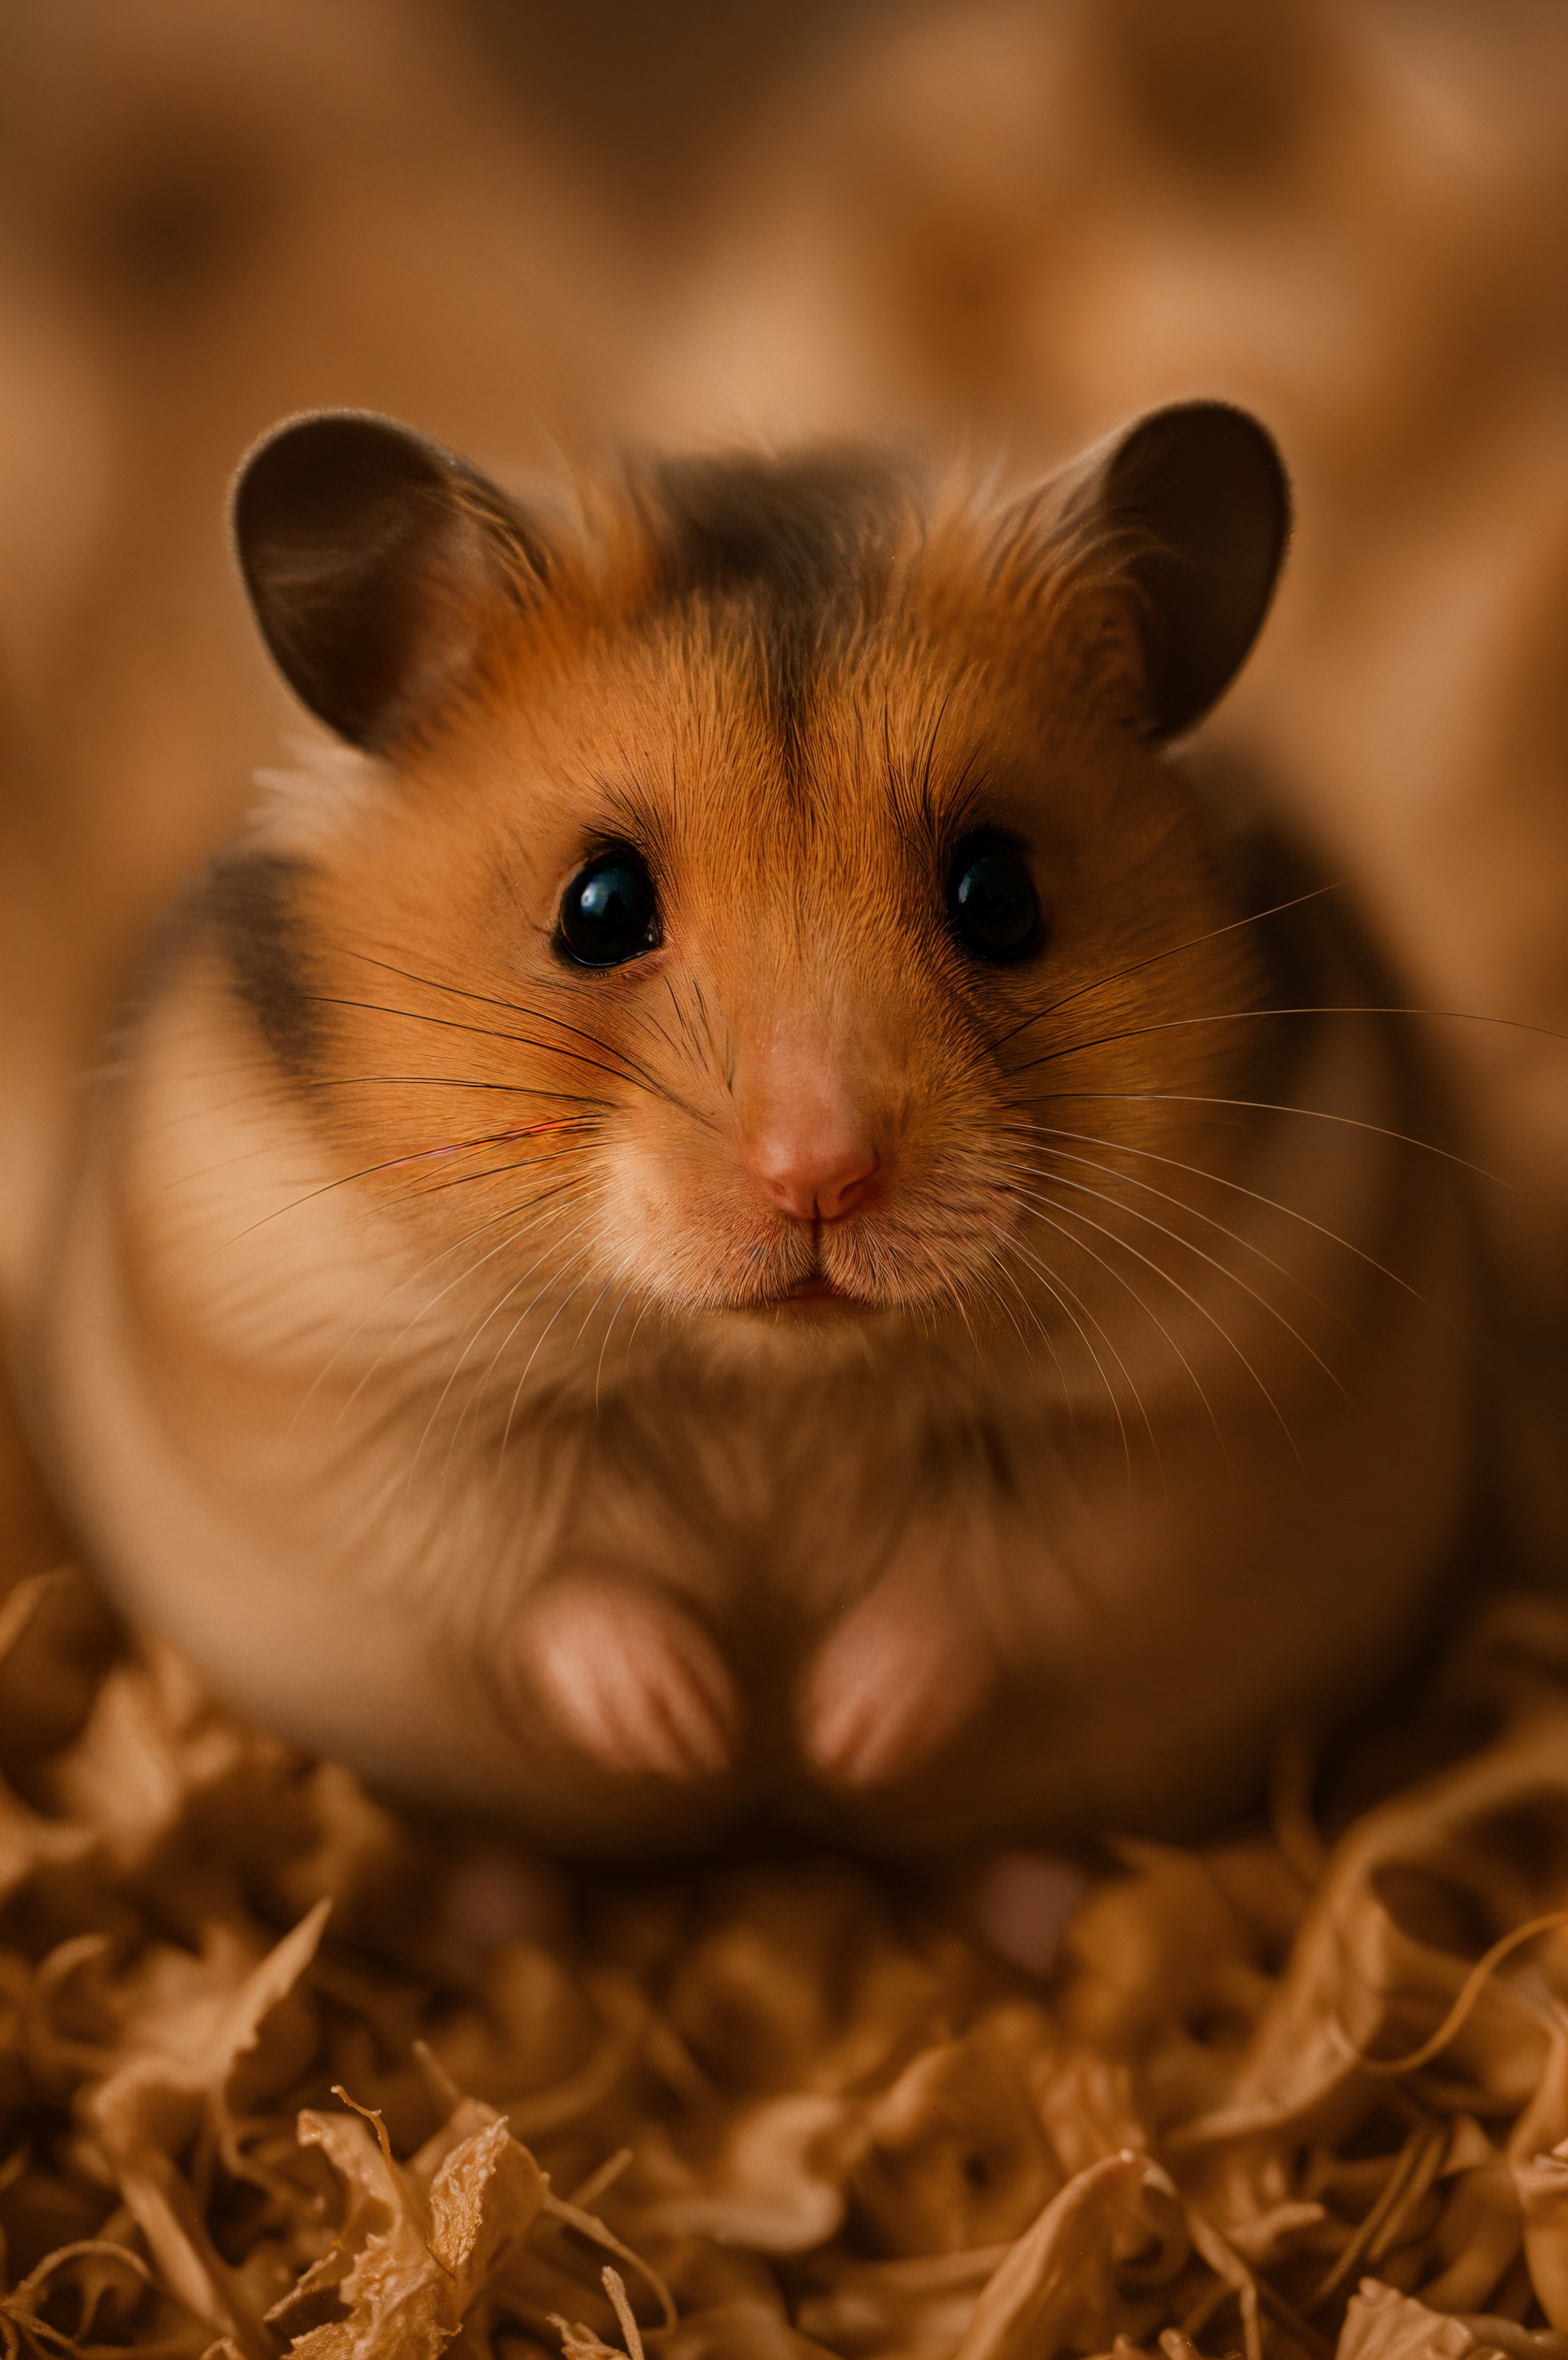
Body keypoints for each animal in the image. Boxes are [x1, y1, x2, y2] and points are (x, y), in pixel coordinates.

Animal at [27, 400, 1474, 1859]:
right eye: (599, 905)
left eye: (999, 893)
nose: (819, 1179)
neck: (771, 1376)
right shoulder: (327, 1395)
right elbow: (536, 1574)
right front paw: (695, 1729)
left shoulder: (1192, 1427)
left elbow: (987, 1582)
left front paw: (834, 1739)